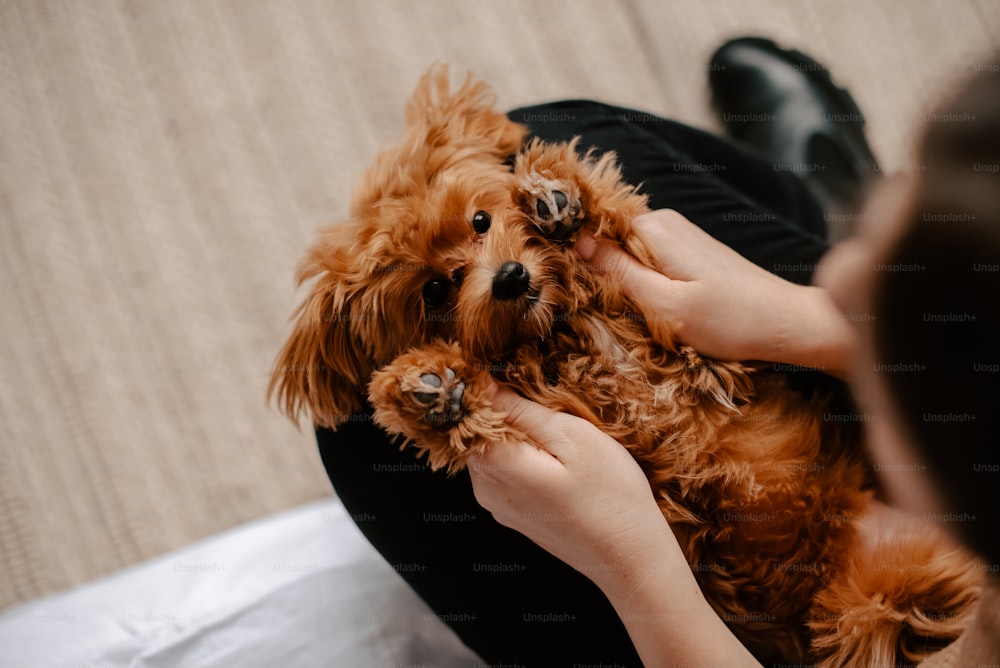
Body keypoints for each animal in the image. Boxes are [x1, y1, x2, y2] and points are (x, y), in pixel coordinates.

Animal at [270, 69, 980, 668]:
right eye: (435, 291)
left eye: (480, 219)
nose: (510, 276)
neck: (556, 333)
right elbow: (460, 416)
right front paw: (427, 390)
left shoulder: (662, 289)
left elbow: (617, 216)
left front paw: (557, 194)